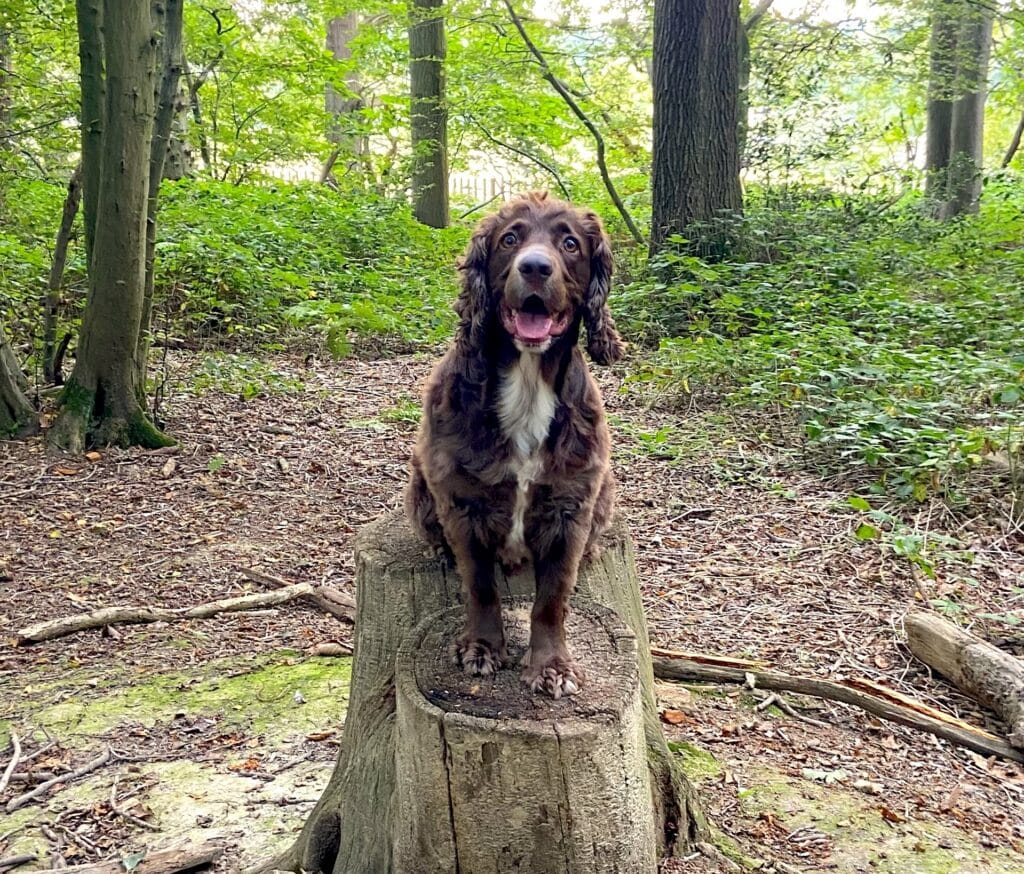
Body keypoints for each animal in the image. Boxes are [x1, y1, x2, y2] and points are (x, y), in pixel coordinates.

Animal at [403, 195, 618, 700]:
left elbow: (552, 599)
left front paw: (552, 666)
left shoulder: (569, 506)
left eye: (570, 244)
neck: (527, 383)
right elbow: (480, 586)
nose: (535, 267)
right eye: (510, 239)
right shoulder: (463, 501)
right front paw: (481, 648)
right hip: (420, 484)